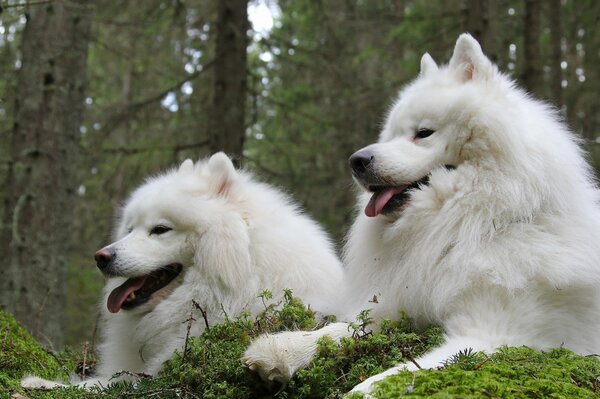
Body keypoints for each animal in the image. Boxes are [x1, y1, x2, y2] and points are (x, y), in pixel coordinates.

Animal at [241, 35, 600, 396]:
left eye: (424, 132)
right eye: (391, 135)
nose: (356, 161)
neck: (472, 225)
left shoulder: (494, 335)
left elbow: (393, 376)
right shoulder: (403, 303)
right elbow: (344, 329)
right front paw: (284, 347)